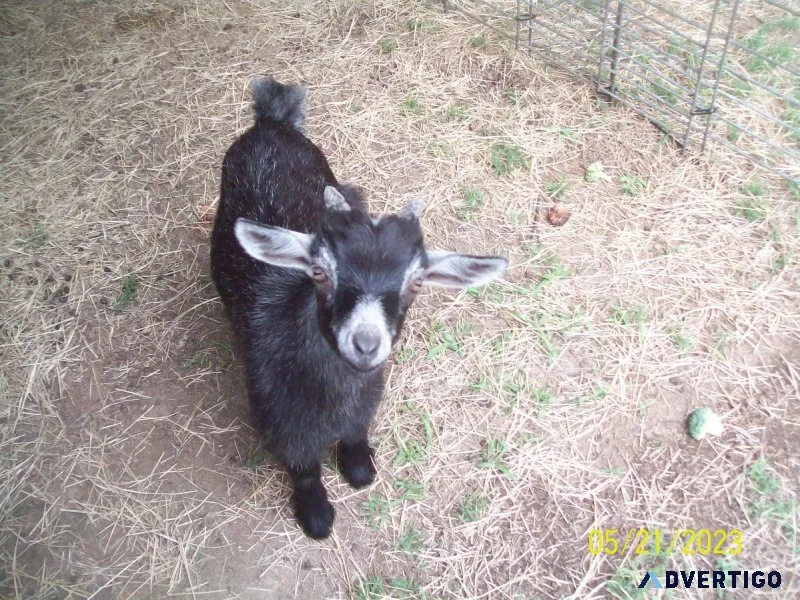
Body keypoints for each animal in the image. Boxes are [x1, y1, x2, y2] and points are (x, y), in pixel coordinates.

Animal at [210, 76, 508, 539]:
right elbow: (303, 469)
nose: (366, 343)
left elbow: (356, 438)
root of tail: (273, 122)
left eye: (416, 282)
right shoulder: (278, 418)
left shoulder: (366, 401)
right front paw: (316, 515)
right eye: (319, 272)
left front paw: (358, 468)